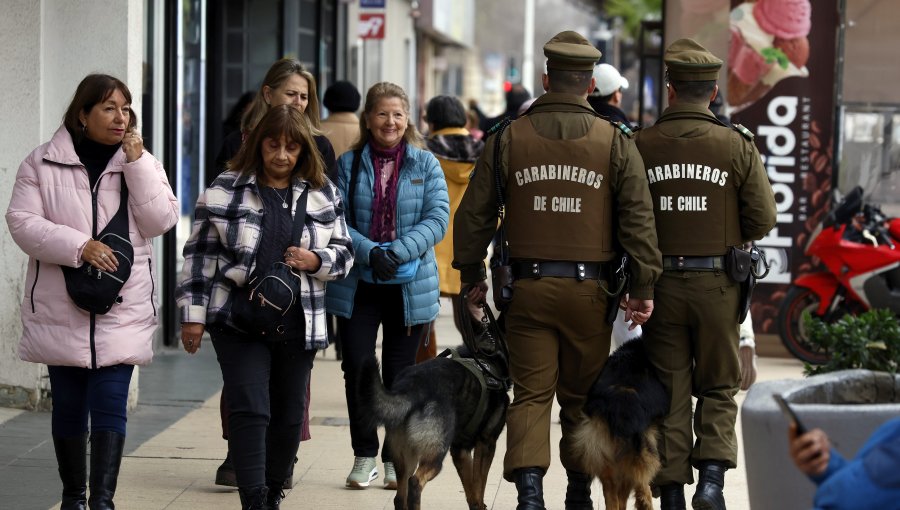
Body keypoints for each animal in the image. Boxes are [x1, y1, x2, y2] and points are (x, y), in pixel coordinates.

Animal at [358, 342, 512, 510]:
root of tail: (411, 387)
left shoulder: (460, 450)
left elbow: (471, 488)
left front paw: (477, 506)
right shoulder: (486, 444)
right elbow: (479, 484)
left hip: (404, 457)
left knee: (399, 496)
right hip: (435, 455)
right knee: (415, 482)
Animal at [568, 338, 668, 510]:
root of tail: (620, 405)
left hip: (603, 454)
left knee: (614, 496)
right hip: (637, 451)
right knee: (638, 483)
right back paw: (646, 501)